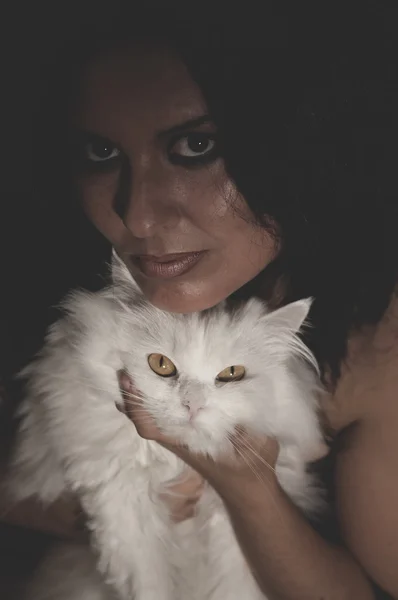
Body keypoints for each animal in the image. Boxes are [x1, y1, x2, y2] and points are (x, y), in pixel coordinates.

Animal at [7, 254, 326, 600]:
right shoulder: (121, 500)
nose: (193, 405)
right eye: (161, 365)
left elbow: (233, 583)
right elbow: (146, 580)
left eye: (231, 373)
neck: (177, 462)